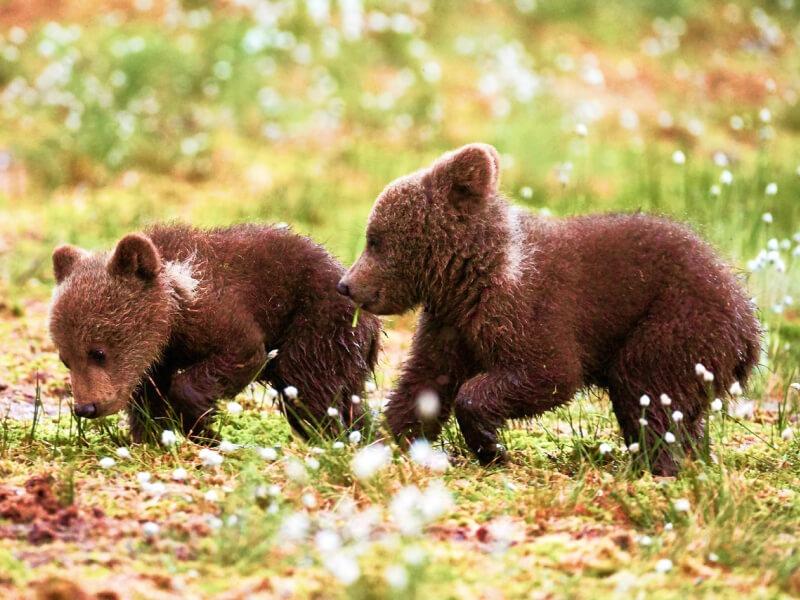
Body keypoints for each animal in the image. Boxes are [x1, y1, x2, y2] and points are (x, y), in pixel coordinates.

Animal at [49, 223, 381, 442]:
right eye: (66, 359)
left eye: (98, 352)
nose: (86, 407)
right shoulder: (155, 359)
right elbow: (147, 396)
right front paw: (153, 434)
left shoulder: (222, 316)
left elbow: (240, 353)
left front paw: (200, 425)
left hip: (317, 327)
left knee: (311, 388)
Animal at [337, 143, 761, 476]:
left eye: (374, 240)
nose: (346, 285)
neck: (470, 279)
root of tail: (749, 327)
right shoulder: (451, 323)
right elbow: (425, 381)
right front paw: (384, 440)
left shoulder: (529, 308)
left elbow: (549, 372)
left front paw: (490, 445)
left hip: (677, 322)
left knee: (648, 389)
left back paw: (655, 464)